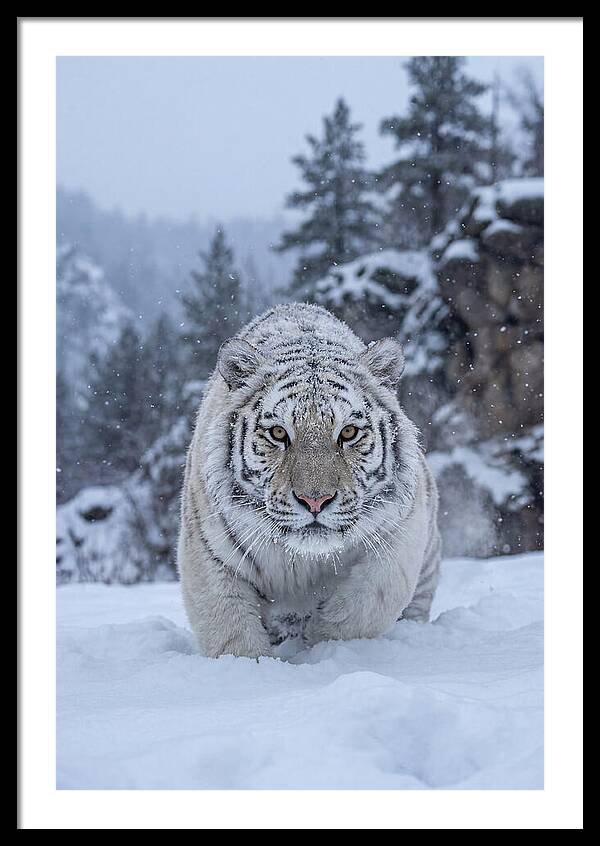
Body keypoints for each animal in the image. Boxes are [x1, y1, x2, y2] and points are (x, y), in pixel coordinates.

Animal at [178, 303, 441, 658]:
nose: (315, 500)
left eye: (348, 432)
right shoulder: (208, 552)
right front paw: (251, 665)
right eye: (278, 433)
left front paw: (322, 643)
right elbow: (231, 631)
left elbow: (365, 604)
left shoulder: (400, 533)